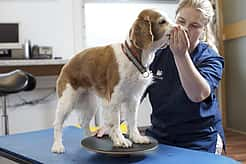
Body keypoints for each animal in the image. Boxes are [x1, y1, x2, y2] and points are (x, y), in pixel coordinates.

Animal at [51, 8, 174, 153]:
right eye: (162, 22)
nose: (179, 28)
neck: (133, 57)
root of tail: (67, 64)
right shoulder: (114, 99)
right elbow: (115, 123)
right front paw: (120, 141)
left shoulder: (133, 99)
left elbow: (132, 121)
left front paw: (136, 137)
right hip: (67, 101)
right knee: (58, 124)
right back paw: (57, 145)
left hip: (91, 103)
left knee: (84, 123)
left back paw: (87, 138)